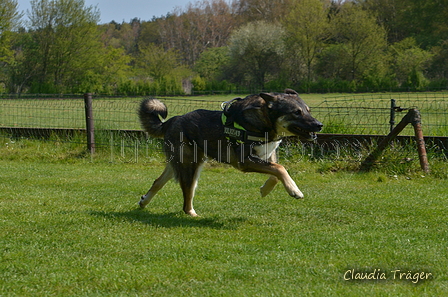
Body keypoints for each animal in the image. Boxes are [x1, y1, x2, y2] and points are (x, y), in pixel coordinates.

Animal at [137, 88, 322, 215]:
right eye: (296, 112)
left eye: (308, 110)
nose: (319, 125)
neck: (264, 121)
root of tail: (172, 120)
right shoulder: (245, 161)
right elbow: (280, 169)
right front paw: (294, 190)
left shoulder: (269, 155)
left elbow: (276, 173)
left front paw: (265, 190)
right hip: (190, 166)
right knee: (186, 198)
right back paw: (192, 214)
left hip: (181, 164)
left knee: (158, 181)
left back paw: (144, 201)